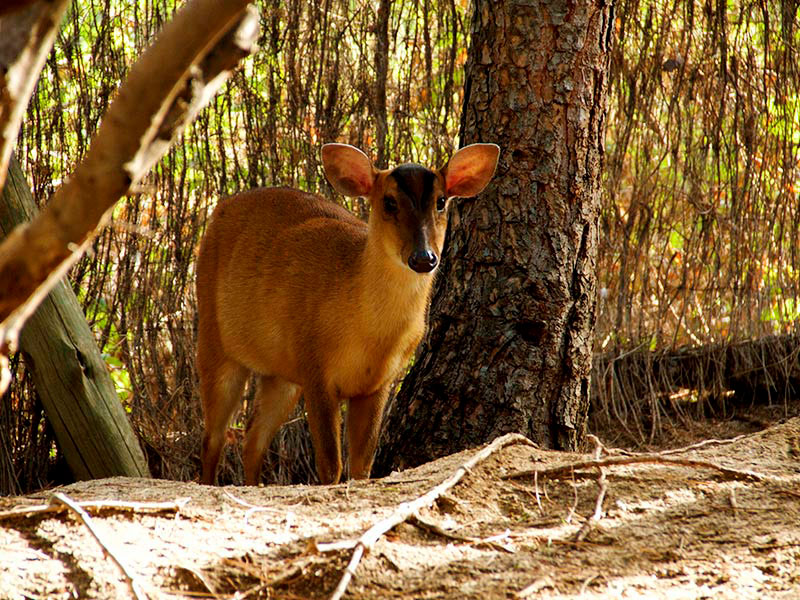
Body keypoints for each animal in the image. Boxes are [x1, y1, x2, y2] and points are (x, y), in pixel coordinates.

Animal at [196, 143, 496, 486]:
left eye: (441, 201)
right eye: (388, 201)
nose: (424, 258)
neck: (368, 335)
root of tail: (220, 207)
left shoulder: (379, 383)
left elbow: (362, 465)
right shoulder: (316, 368)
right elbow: (330, 465)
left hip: (282, 374)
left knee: (252, 439)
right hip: (213, 337)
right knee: (213, 438)